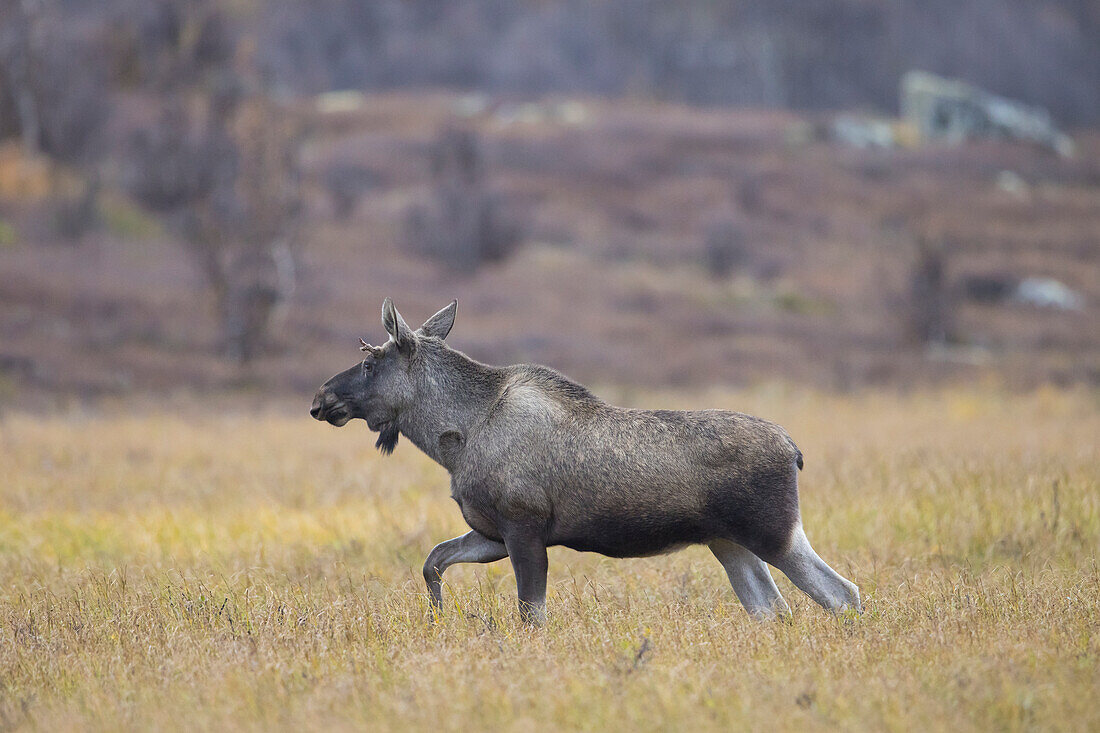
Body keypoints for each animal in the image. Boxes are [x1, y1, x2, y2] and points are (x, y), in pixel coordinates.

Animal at [310, 297, 858, 620]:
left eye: (368, 362)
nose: (320, 399)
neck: (453, 439)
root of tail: (794, 450)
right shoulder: (491, 533)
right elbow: (433, 562)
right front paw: (438, 617)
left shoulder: (524, 527)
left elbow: (531, 615)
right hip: (729, 543)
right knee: (773, 610)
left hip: (772, 532)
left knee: (842, 593)